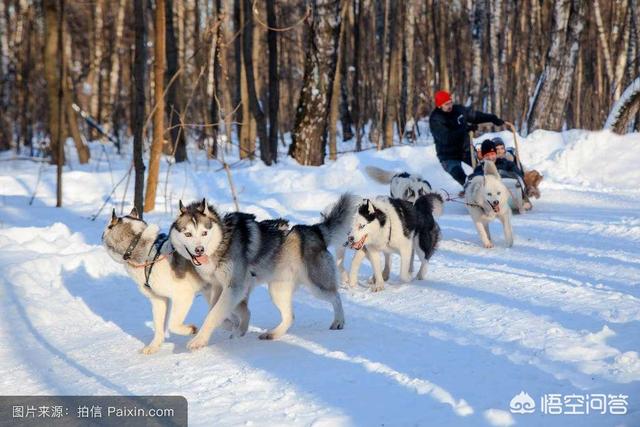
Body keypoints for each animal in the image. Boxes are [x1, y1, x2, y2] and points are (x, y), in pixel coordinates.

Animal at [169, 196, 356, 350]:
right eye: (188, 234)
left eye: (204, 233)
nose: (199, 250)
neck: (223, 242)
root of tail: (315, 230)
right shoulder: (221, 287)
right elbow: (219, 312)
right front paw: (235, 327)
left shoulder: (235, 287)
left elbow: (214, 314)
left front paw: (199, 341)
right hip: (277, 290)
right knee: (290, 316)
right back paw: (273, 334)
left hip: (317, 285)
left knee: (335, 297)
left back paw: (339, 321)